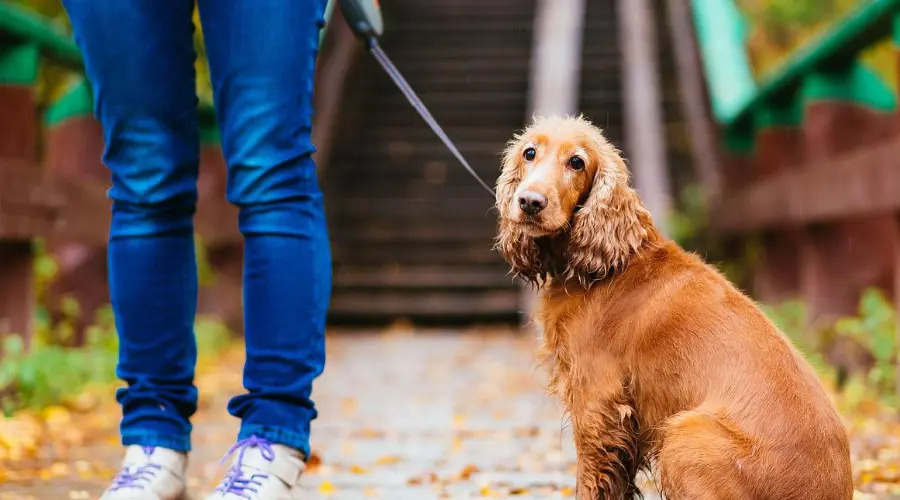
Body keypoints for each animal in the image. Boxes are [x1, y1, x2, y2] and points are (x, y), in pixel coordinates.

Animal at [492, 115, 852, 498]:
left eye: (577, 162)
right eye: (530, 152)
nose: (529, 202)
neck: (607, 260)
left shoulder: (595, 401)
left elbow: (589, 482)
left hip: (683, 435)